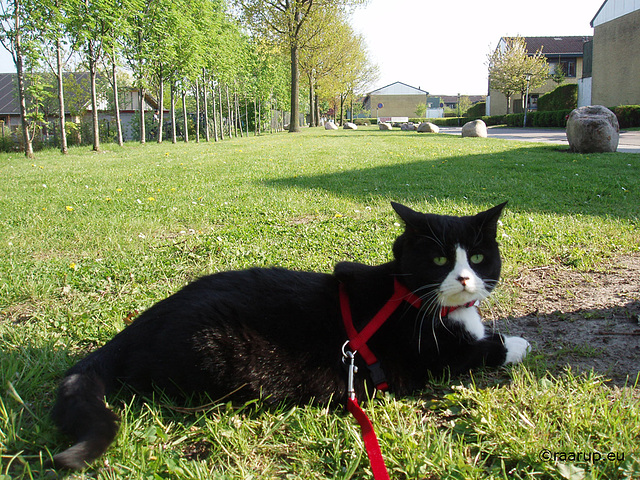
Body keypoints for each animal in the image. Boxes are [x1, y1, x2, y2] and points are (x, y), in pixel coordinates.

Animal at [51, 202, 528, 468]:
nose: (465, 280)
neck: (410, 296)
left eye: (478, 257)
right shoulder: (437, 359)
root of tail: (140, 323)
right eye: (439, 259)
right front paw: (516, 343)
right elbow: (486, 350)